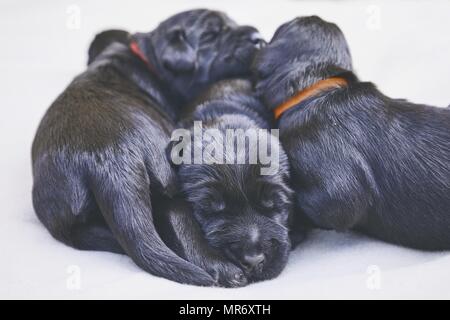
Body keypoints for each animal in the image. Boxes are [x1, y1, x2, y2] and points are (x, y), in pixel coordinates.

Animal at [32, 9, 264, 284]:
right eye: (211, 34)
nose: (259, 38)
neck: (148, 61)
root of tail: (109, 159)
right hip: (169, 177)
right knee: (178, 217)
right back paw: (223, 268)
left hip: (66, 219)